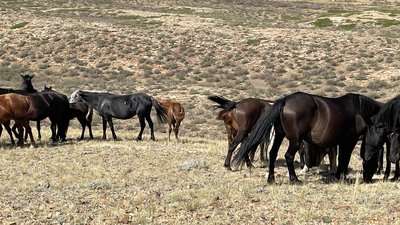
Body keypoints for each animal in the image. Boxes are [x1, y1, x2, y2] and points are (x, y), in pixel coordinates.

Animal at [231, 91, 382, 183]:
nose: (368, 178)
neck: (360, 111)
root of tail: (285, 101)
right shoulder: (349, 141)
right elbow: (345, 159)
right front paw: (341, 177)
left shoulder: (341, 142)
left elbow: (340, 158)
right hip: (295, 140)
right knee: (288, 156)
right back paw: (294, 179)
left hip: (279, 135)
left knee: (273, 154)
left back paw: (271, 179)